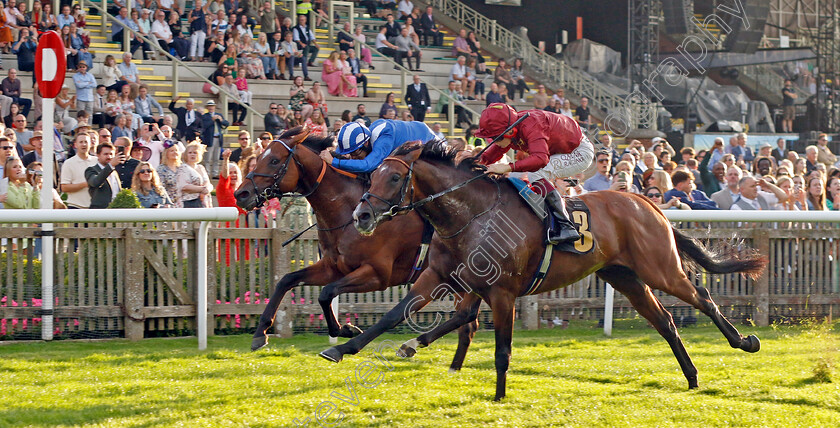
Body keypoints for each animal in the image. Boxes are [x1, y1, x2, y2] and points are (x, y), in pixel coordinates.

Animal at [233, 128, 480, 368]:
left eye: (274, 160)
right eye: (259, 158)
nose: (240, 194)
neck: (347, 211)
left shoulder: (378, 274)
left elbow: (327, 292)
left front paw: (344, 331)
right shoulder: (333, 267)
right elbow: (287, 280)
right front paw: (260, 334)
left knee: (467, 317)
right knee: (468, 319)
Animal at [322, 140, 768, 402]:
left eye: (396, 176)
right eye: (372, 174)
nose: (361, 215)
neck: (468, 214)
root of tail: (648, 203)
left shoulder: (502, 292)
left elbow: (502, 349)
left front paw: (499, 397)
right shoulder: (438, 277)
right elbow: (395, 315)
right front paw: (341, 347)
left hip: (659, 268)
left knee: (702, 298)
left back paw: (744, 342)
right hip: (624, 277)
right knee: (666, 321)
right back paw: (692, 377)